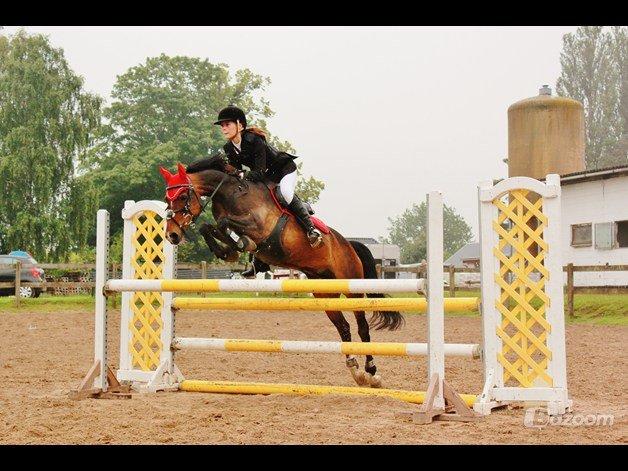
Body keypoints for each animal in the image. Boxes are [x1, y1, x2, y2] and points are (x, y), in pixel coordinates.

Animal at [156, 157, 402, 390]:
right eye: (168, 200)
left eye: (182, 196)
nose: (172, 236)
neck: (230, 193)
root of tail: (350, 244)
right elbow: (209, 227)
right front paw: (228, 252)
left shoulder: (260, 228)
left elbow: (225, 224)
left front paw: (237, 246)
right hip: (325, 293)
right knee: (344, 328)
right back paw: (356, 370)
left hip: (352, 289)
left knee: (363, 328)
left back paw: (372, 373)